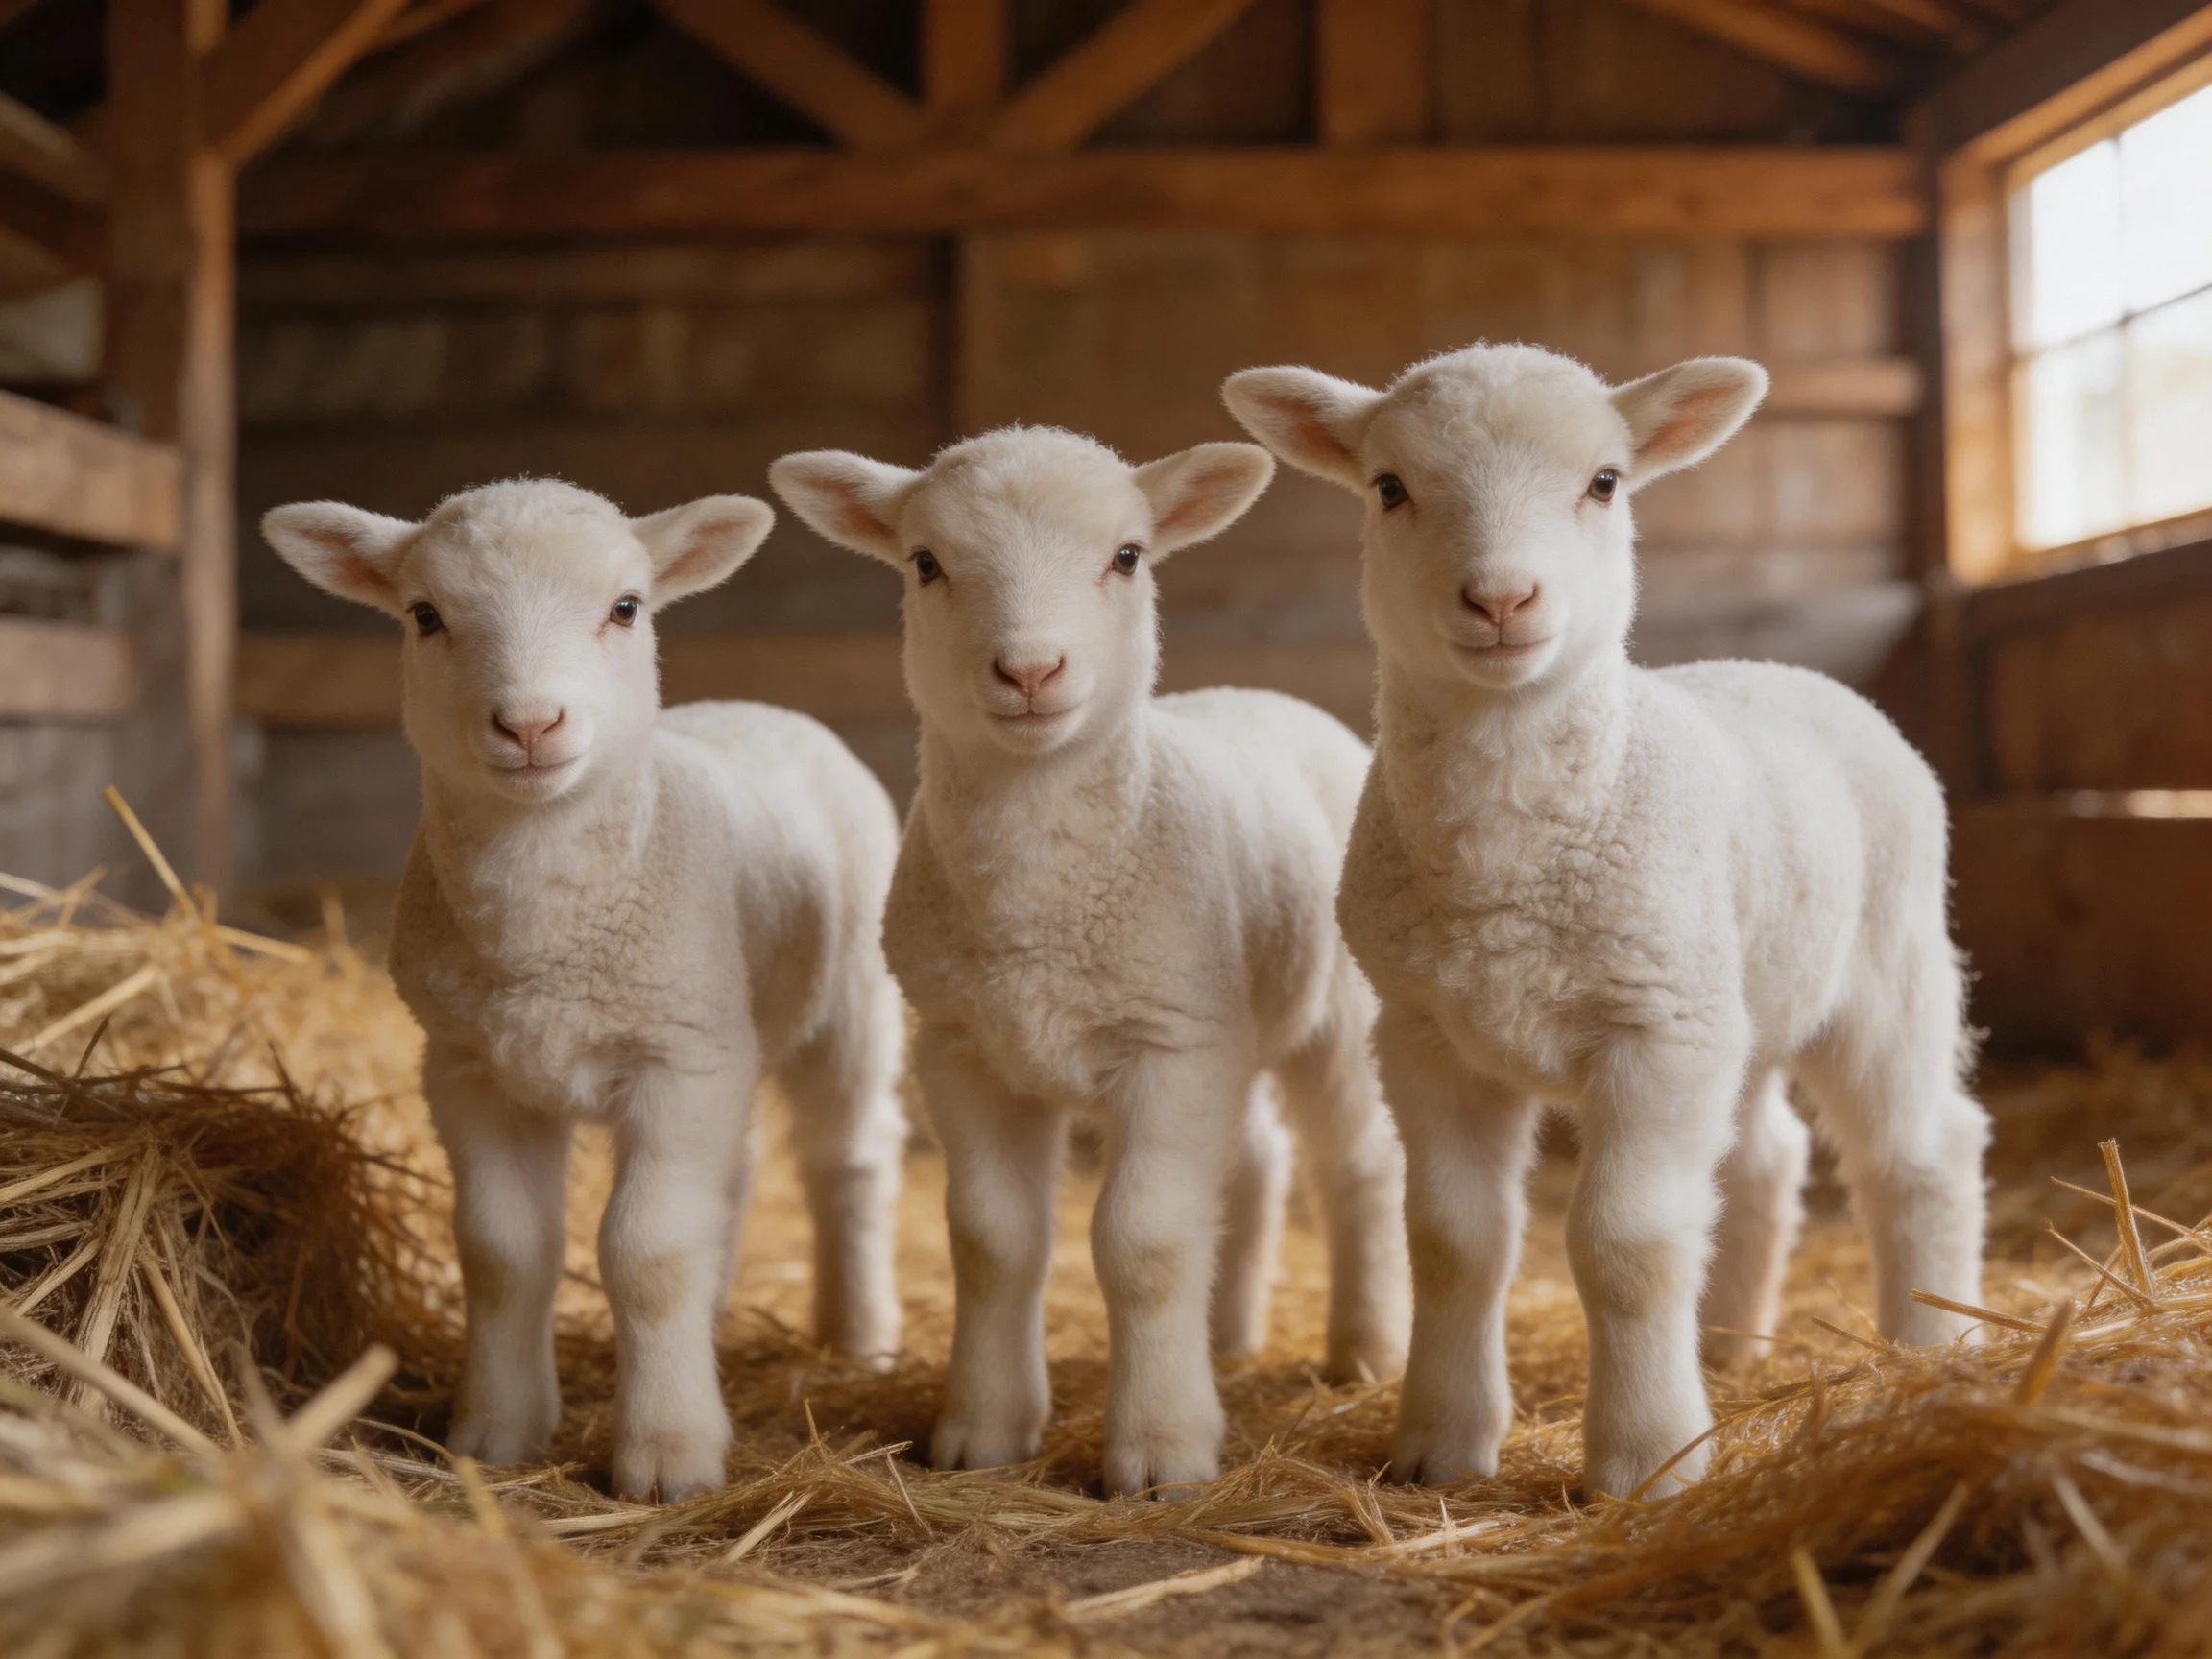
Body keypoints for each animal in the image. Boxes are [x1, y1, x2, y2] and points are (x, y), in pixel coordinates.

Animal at [262, 479, 908, 1503]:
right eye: (425, 614)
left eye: (626, 608)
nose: (530, 725)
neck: (546, 944)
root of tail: (763, 705)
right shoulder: (471, 1067)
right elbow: (501, 1251)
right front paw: (497, 1428)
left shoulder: (673, 1060)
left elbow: (647, 1252)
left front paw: (669, 1454)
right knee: (737, 1169)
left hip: (844, 1002)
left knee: (850, 1157)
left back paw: (862, 1334)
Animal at [769, 427, 1412, 1497]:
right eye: (925, 562)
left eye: (1127, 556)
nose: (1030, 670)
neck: (1041, 904)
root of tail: (1261, 693)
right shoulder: (965, 1049)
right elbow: (992, 1240)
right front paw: (982, 1429)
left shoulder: (1169, 1044)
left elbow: (1142, 1241)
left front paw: (1159, 1450)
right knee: (1254, 1162)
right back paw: (1224, 1337)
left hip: (1333, 1013)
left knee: (1357, 1161)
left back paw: (1365, 1348)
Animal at [1223, 344, 1990, 1500]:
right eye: (1389, 487)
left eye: (1604, 482)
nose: (1501, 597)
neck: (1507, 861)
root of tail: (1786, 670)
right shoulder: (1427, 1036)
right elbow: (1453, 1239)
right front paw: (1440, 1446)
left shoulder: (1655, 1030)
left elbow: (1625, 1246)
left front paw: (1645, 1460)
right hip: (1734, 989)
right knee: (1761, 1159)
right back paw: (1725, 1345)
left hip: (1883, 967)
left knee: (1921, 1149)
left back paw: (1928, 1345)